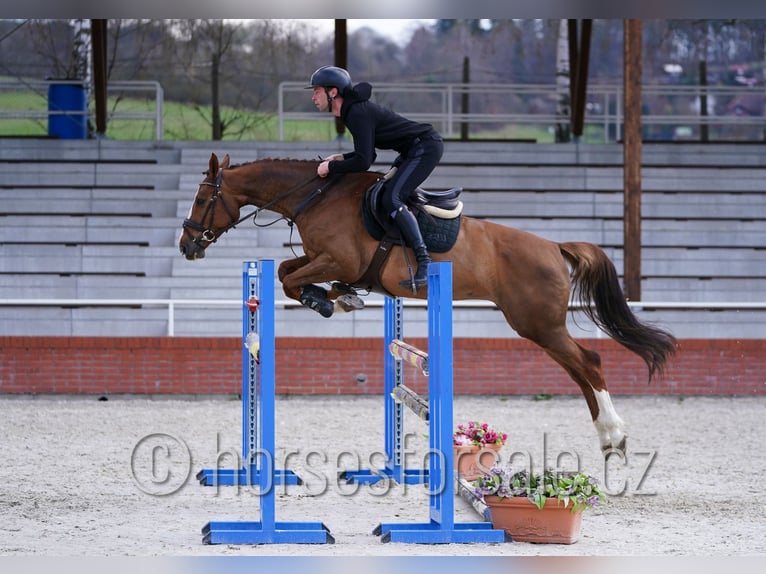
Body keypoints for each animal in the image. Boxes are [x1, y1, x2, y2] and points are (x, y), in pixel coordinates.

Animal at [179, 153, 677, 455]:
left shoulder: (337, 257)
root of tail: (555, 246)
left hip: (538, 324)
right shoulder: (324, 258)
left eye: (202, 198)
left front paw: (326, 301)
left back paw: (615, 434)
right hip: (538, 327)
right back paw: (606, 436)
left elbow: (289, 280)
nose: (187, 247)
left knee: (589, 361)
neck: (314, 196)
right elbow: (286, 272)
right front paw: (340, 296)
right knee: (577, 369)